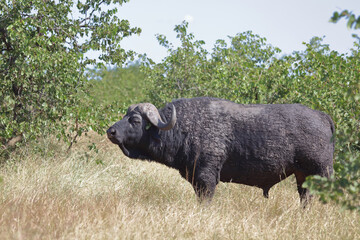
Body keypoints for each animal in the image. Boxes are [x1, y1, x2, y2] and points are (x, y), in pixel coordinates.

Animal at [107, 97, 334, 204]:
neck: (183, 128)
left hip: (321, 172)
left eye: (135, 120)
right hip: (303, 176)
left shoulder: (206, 178)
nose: (111, 131)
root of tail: (322, 116)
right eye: (125, 116)